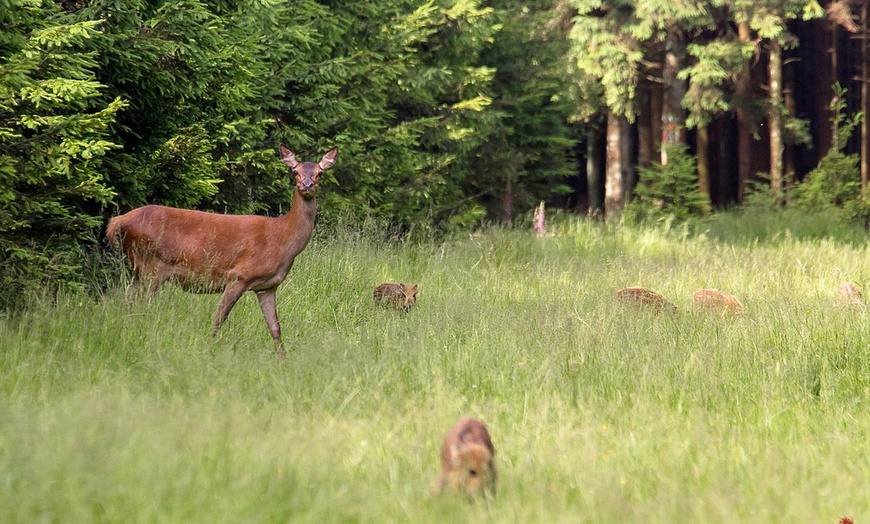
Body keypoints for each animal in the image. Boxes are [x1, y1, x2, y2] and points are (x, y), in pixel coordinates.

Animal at [105, 143, 338, 358]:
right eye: (295, 171)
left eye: (320, 173)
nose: (307, 185)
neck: (282, 239)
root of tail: (117, 222)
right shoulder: (239, 276)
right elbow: (218, 318)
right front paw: (209, 348)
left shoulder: (267, 287)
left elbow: (275, 328)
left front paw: (283, 359)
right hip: (151, 267)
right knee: (140, 306)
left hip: (138, 270)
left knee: (129, 302)